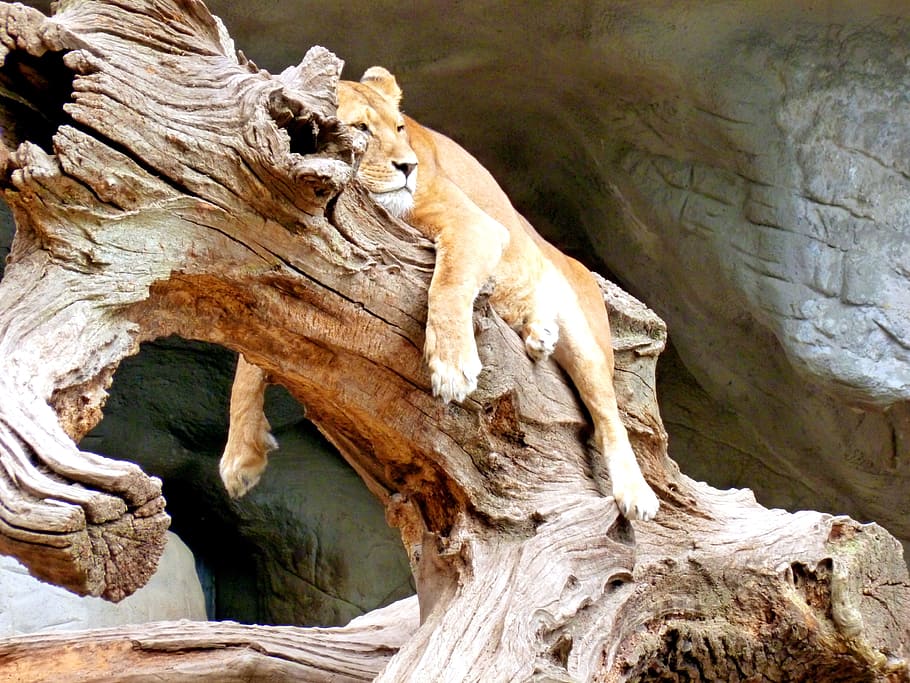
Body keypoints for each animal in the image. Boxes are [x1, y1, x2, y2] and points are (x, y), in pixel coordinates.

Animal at [219, 67, 660, 521]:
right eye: (361, 128)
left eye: (399, 128)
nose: (408, 166)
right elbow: (247, 362)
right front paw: (240, 457)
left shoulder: (477, 225)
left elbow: (449, 283)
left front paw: (452, 366)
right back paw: (539, 333)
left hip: (586, 338)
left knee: (609, 417)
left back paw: (635, 493)